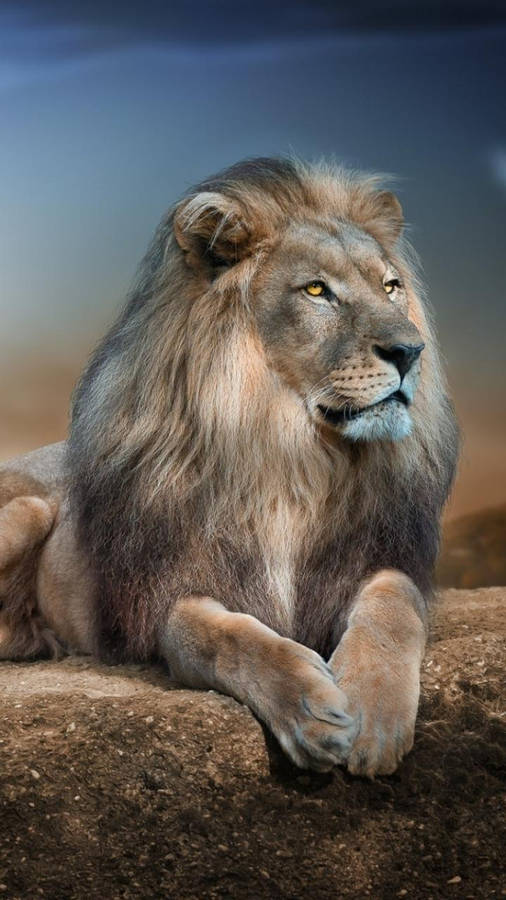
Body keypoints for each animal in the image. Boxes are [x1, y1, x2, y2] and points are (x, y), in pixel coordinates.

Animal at [0, 157, 458, 776]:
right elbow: (223, 637)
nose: (411, 352)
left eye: (391, 286)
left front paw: (374, 716)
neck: (292, 456)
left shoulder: (377, 555)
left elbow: (394, 605)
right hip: (26, 508)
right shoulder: (169, 591)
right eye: (317, 290)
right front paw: (311, 709)